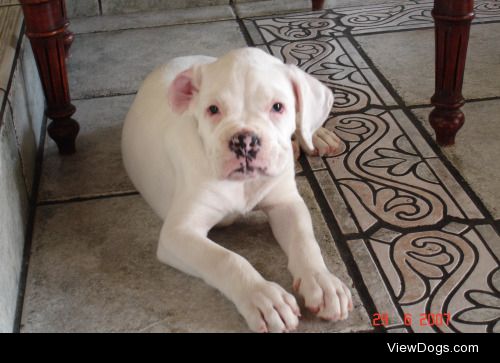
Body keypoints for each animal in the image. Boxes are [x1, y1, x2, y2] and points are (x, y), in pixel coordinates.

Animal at [122, 47, 352, 332]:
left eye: (278, 106)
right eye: (213, 109)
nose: (244, 141)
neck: (243, 183)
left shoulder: (286, 204)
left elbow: (304, 240)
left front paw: (322, 282)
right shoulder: (178, 233)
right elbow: (226, 259)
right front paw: (264, 298)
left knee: (304, 121)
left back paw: (315, 136)